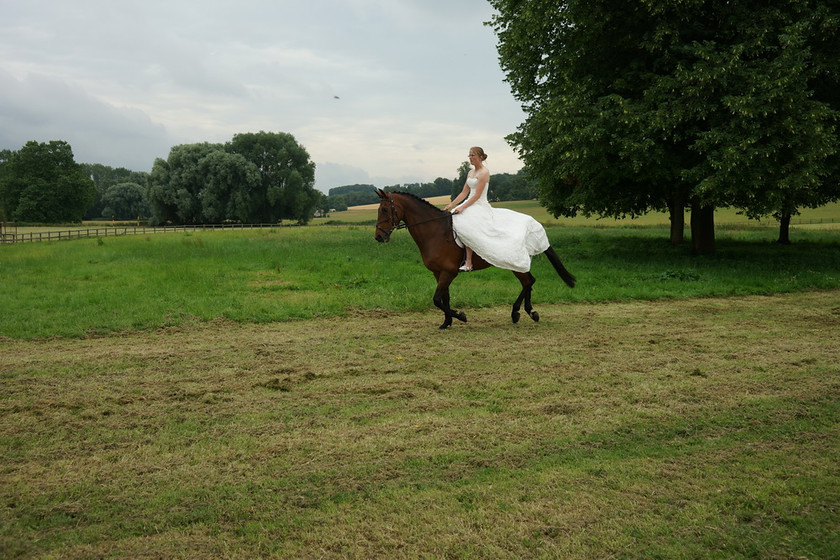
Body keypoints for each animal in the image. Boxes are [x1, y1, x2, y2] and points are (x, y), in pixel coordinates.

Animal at [376, 188, 576, 328]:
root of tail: (534, 224)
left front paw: (460, 316)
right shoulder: (438, 273)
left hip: (514, 262)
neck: (435, 232)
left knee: (528, 281)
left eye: (385, 210)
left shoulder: (449, 272)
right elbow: (444, 298)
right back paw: (526, 312)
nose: (379, 237)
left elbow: (437, 299)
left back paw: (521, 313)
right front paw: (446, 322)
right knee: (528, 282)